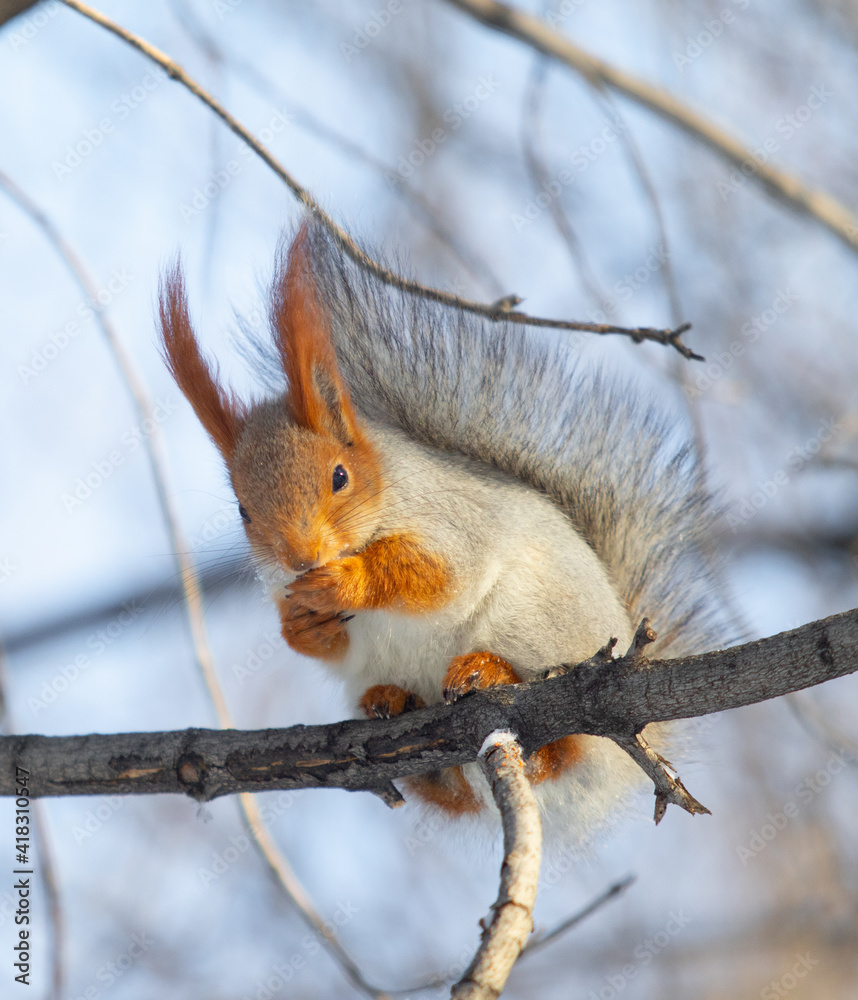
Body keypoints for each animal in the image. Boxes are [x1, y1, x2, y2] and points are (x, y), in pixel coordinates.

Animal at [157, 223, 732, 840]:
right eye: (242, 510)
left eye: (339, 476)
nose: (300, 558)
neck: (382, 499)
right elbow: (323, 644)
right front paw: (303, 621)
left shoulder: (454, 520)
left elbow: (441, 574)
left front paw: (347, 581)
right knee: (454, 789)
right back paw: (394, 705)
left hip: (542, 625)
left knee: (564, 749)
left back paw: (489, 674)